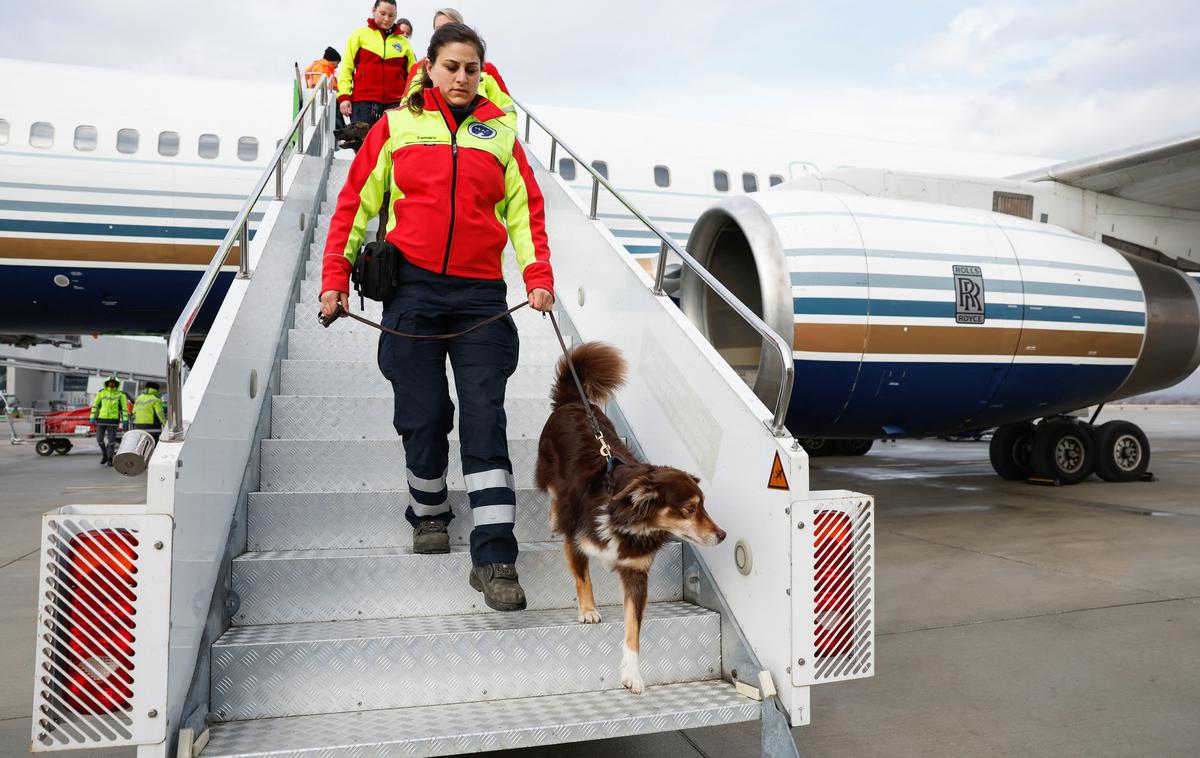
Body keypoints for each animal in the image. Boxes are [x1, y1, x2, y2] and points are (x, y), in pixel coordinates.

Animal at [537, 343, 724, 690]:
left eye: (703, 505)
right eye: (690, 508)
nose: (722, 535)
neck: (631, 522)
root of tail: (573, 401)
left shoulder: (637, 574)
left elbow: (633, 627)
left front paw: (632, 673)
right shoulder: (576, 540)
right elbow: (582, 576)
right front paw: (588, 610)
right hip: (548, 472)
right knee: (554, 496)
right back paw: (554, 514)